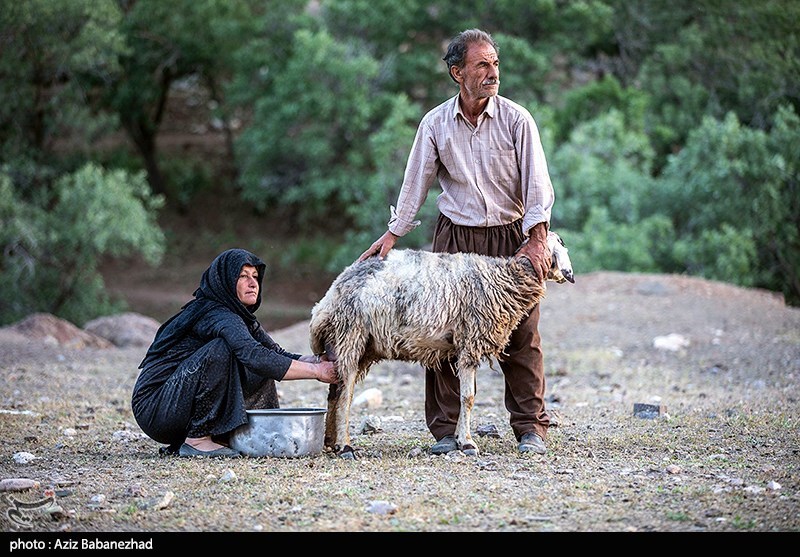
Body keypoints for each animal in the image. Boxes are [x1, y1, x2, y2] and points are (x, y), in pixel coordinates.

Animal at [310, 230, 572, 456]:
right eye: (560, 242)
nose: (568, 274)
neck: (503, 278)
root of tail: (330, 295)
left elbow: (466, 396)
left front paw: (459, 439)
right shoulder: (470, 343)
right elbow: (468, 397)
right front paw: (466, 442)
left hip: (357, 345)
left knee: (334, 392)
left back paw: (330, 441)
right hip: (351, 335)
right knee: (345, 395)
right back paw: (345, 446)